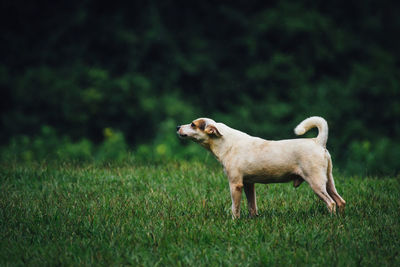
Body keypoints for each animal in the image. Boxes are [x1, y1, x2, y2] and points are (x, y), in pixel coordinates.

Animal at [177, 116, 346, 219]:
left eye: (193, 124)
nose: (178, 126)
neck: (226, 143)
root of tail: (318, 142)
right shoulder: (248, 184)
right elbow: (252, 206)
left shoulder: (235, 184)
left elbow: (235, 207)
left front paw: (234, 221)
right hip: (328, 182)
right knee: (340, 201)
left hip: (316, 183)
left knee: (331, 203)